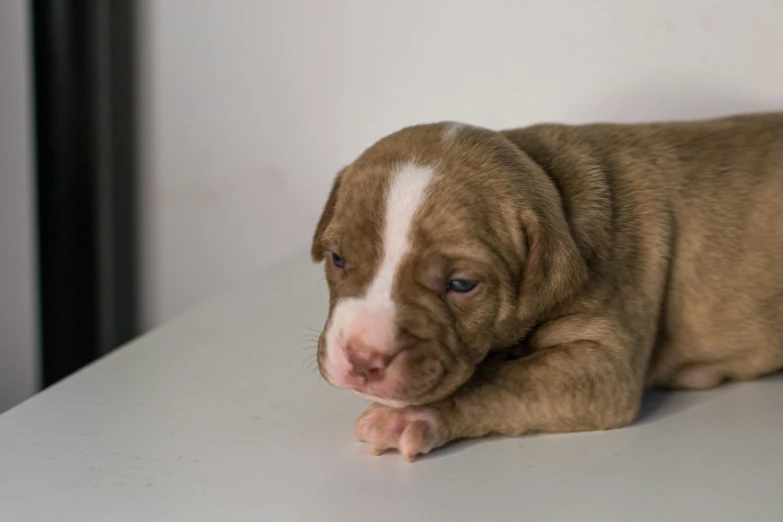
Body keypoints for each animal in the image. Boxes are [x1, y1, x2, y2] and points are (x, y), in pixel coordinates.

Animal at [310, 111, 780, 458]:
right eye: (337, 258)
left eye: (461, 284)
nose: (362, 357)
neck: (553, 183)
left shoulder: (602, 364)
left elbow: (504, 379)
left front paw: (414, 416)